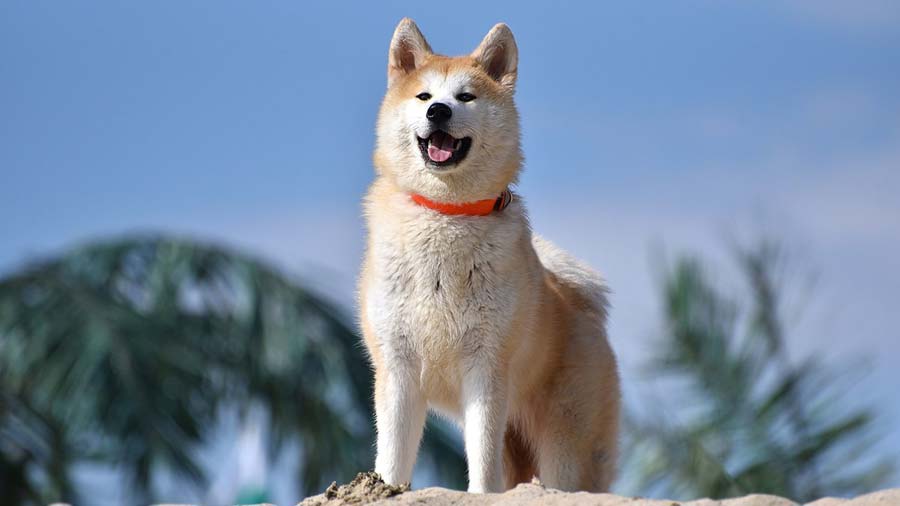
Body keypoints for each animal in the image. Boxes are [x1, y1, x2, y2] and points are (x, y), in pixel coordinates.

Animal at [358, 17, 620, 492]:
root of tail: (582, 306)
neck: (446, 216)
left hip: (565, 446)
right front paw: (384, 487)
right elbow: (393, 455)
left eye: (466, 97)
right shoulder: (398, 367)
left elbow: (481, 461)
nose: (438, 112)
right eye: (424, 96)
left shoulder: (485, 366)